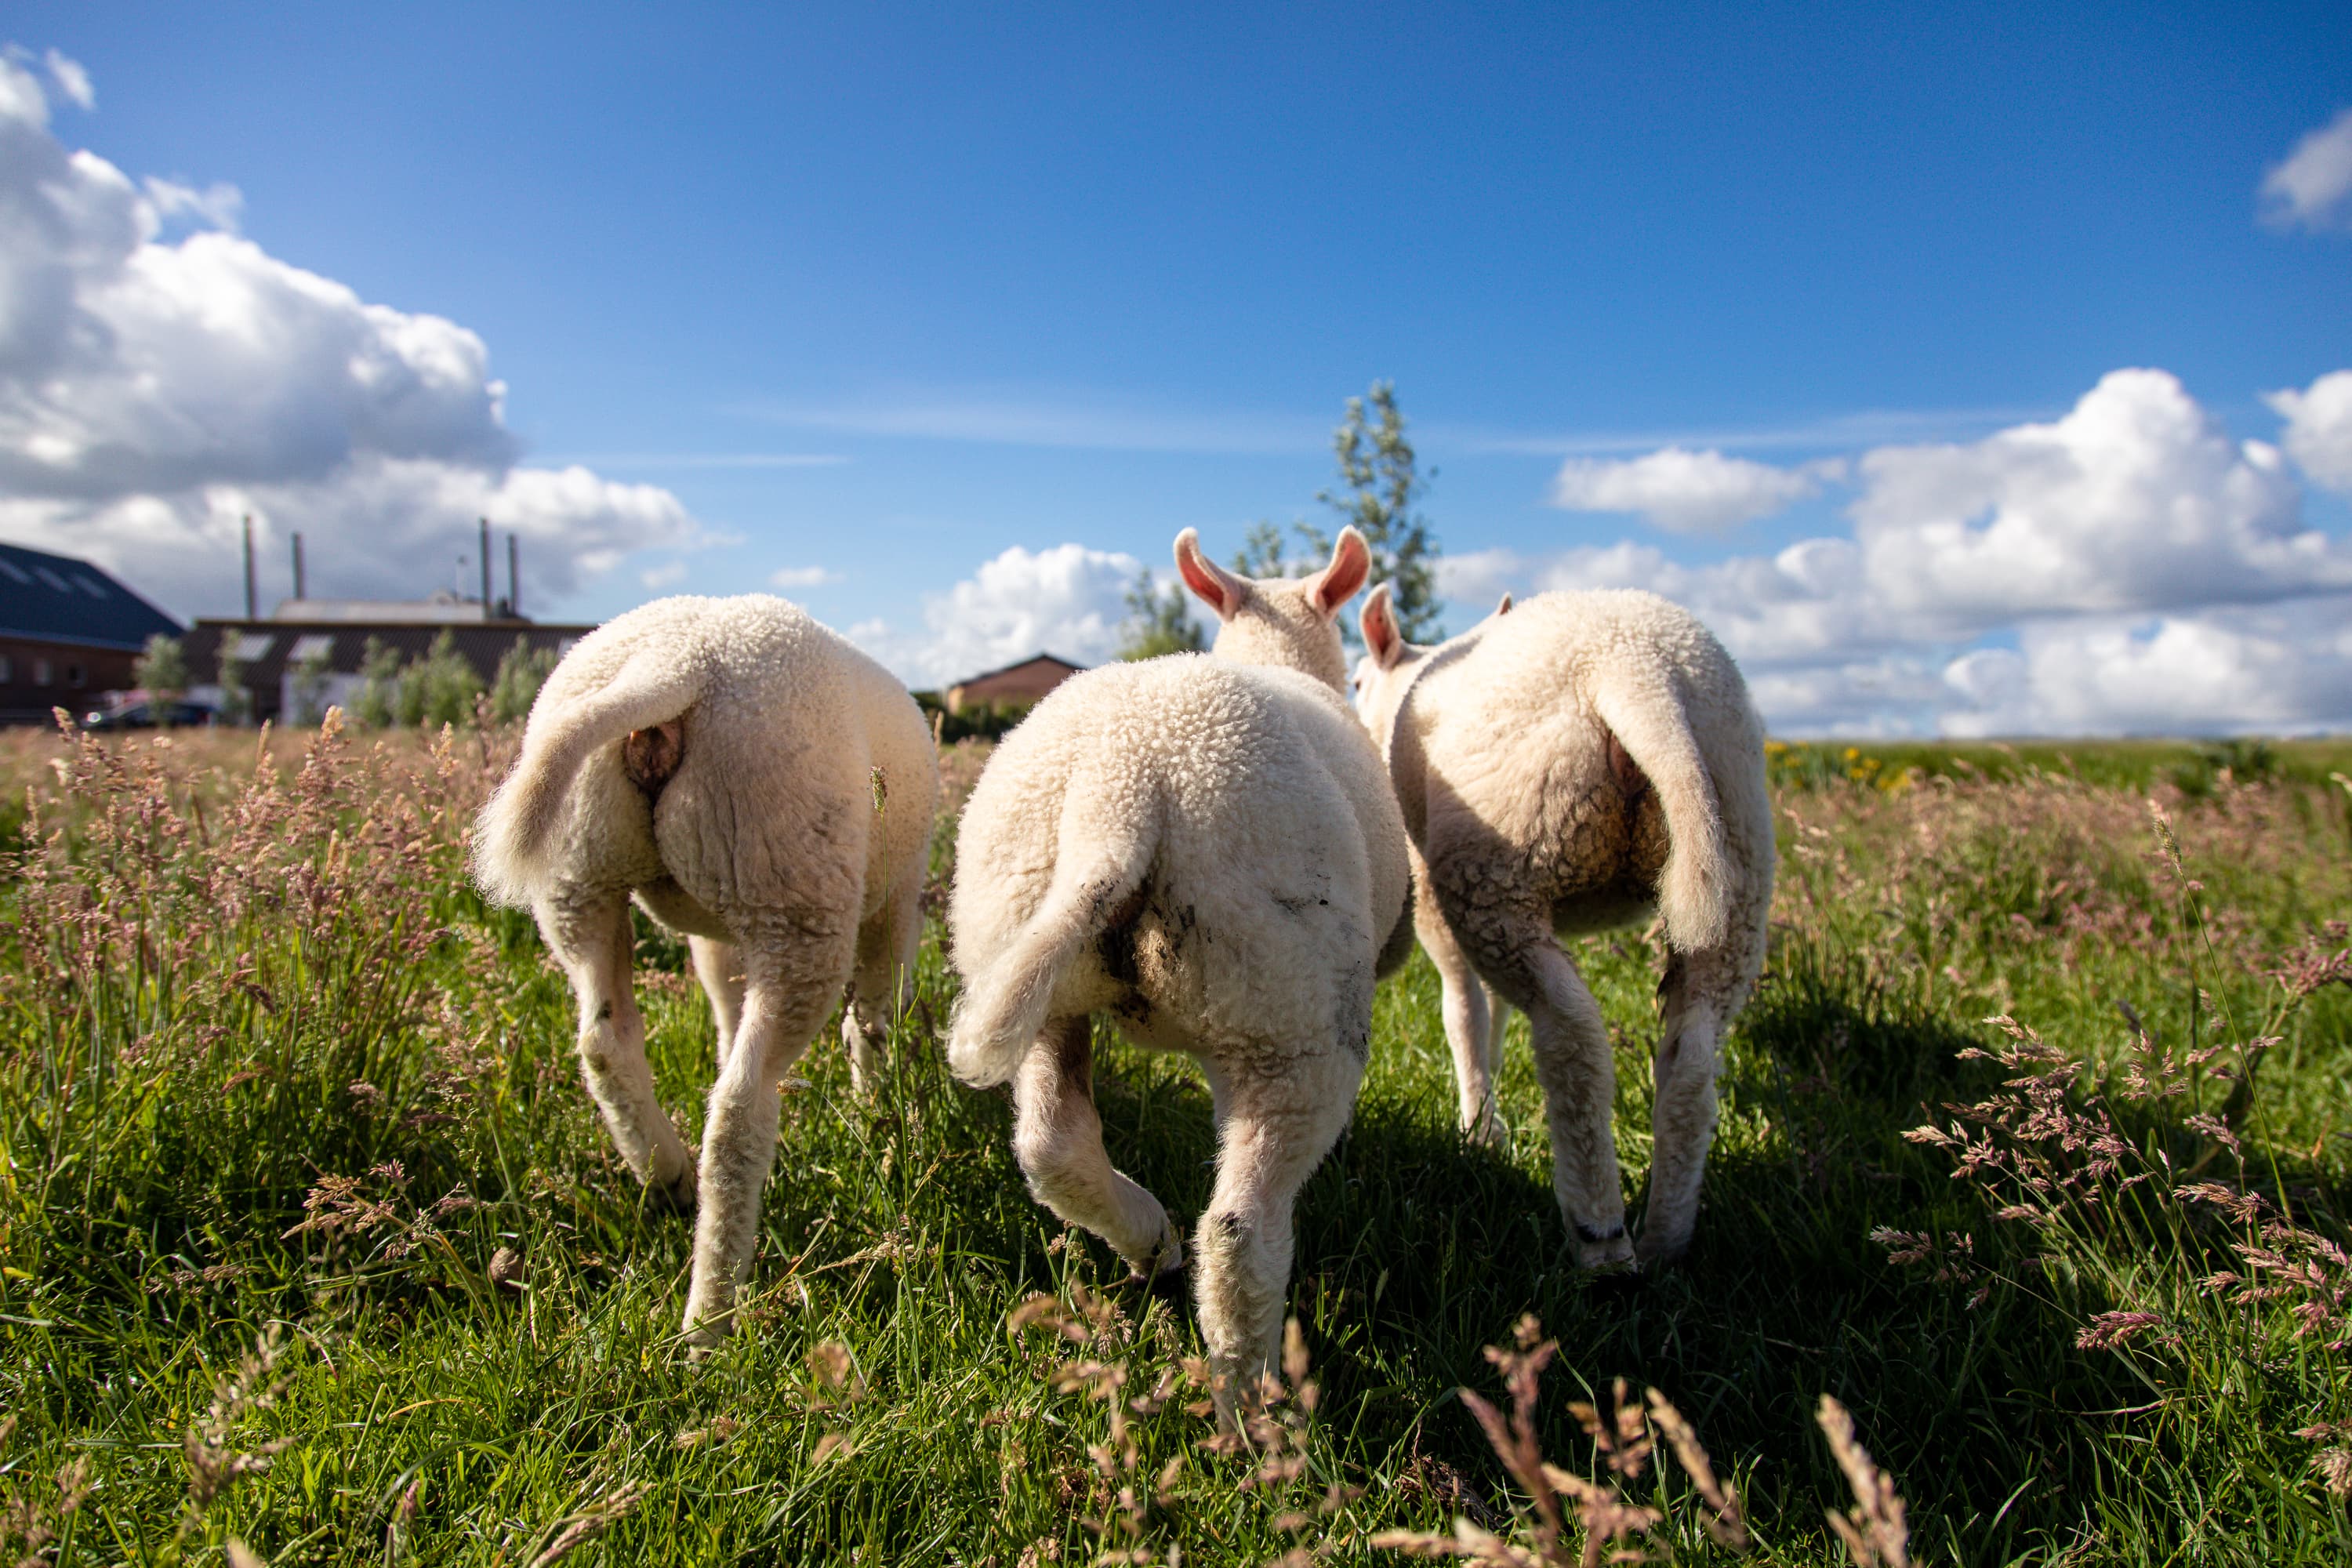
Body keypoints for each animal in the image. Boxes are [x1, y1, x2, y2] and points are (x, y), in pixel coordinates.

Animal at [473, 594, 941, 1354]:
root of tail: (671, 665)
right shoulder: (896, 903)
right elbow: (871, 1020)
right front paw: (879, 1112)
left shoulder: (715, 934)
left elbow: (726, 1003)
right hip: (793, 877)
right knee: (738, 1111)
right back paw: (709, 1321)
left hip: (581, 871)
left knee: (604, 1043)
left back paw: (664, 1174)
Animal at [941, 531, 1411, 1420]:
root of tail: (1121, 789)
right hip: (1292, 1006)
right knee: (1240, 1228)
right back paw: (1254, 1411)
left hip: (1028, 953)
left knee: (1053, 1143)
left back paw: (1148, 1242)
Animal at [1345, 587, 1769, 1279]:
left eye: (1357, 681)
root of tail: (1637, 669)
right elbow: (1493, 1011)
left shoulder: (1431, 887)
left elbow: (1463, 1010)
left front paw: (1479, 1130)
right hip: (1738, 855)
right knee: (1692, 1058)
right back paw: (1666, 1239)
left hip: (1498, 851)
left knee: (1572, 1037)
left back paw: (1601, 1240)